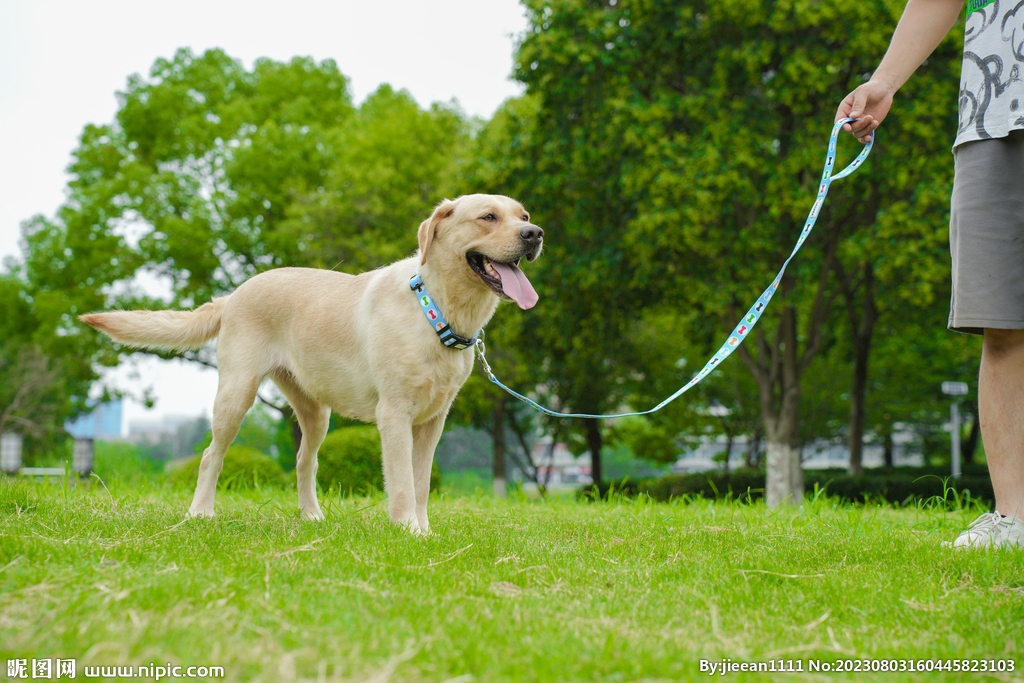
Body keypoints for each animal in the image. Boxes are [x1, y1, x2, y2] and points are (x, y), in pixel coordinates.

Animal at [81, 193, 544, 532]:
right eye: (488, 217)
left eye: (522, 215)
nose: (535, 233)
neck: (436, 312)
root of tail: (234, 294)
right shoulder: (394, 414)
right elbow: (401, 483)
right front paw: (407, 531)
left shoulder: (434, 419)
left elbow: (422, 482)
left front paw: (424, 532)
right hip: (236, 394)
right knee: (212, 454)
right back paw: (200, 513)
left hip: (316, 412)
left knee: (306, 461)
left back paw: (312, 517)